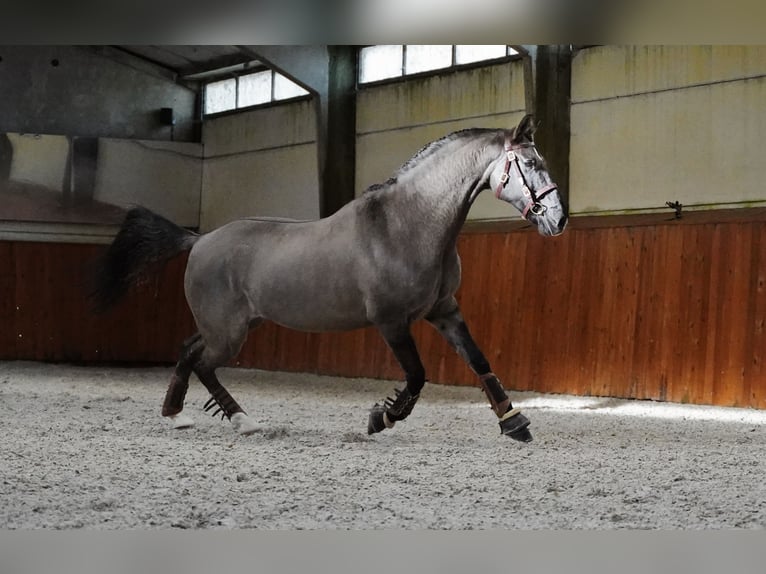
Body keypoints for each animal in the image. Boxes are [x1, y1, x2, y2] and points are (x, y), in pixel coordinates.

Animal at [90, 113, 568, 446]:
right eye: (530, 163)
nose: (558, 220)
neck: (409, 225)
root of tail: (199, 238)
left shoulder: (444, 310)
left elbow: (480, 361)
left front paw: (515, 423)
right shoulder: (391, 321)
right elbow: (416, 376)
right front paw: (380, 418)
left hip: (235, 324)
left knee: (190, 353)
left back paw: (183, 414)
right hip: (227, 330)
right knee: (202, 361)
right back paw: (236, 420)